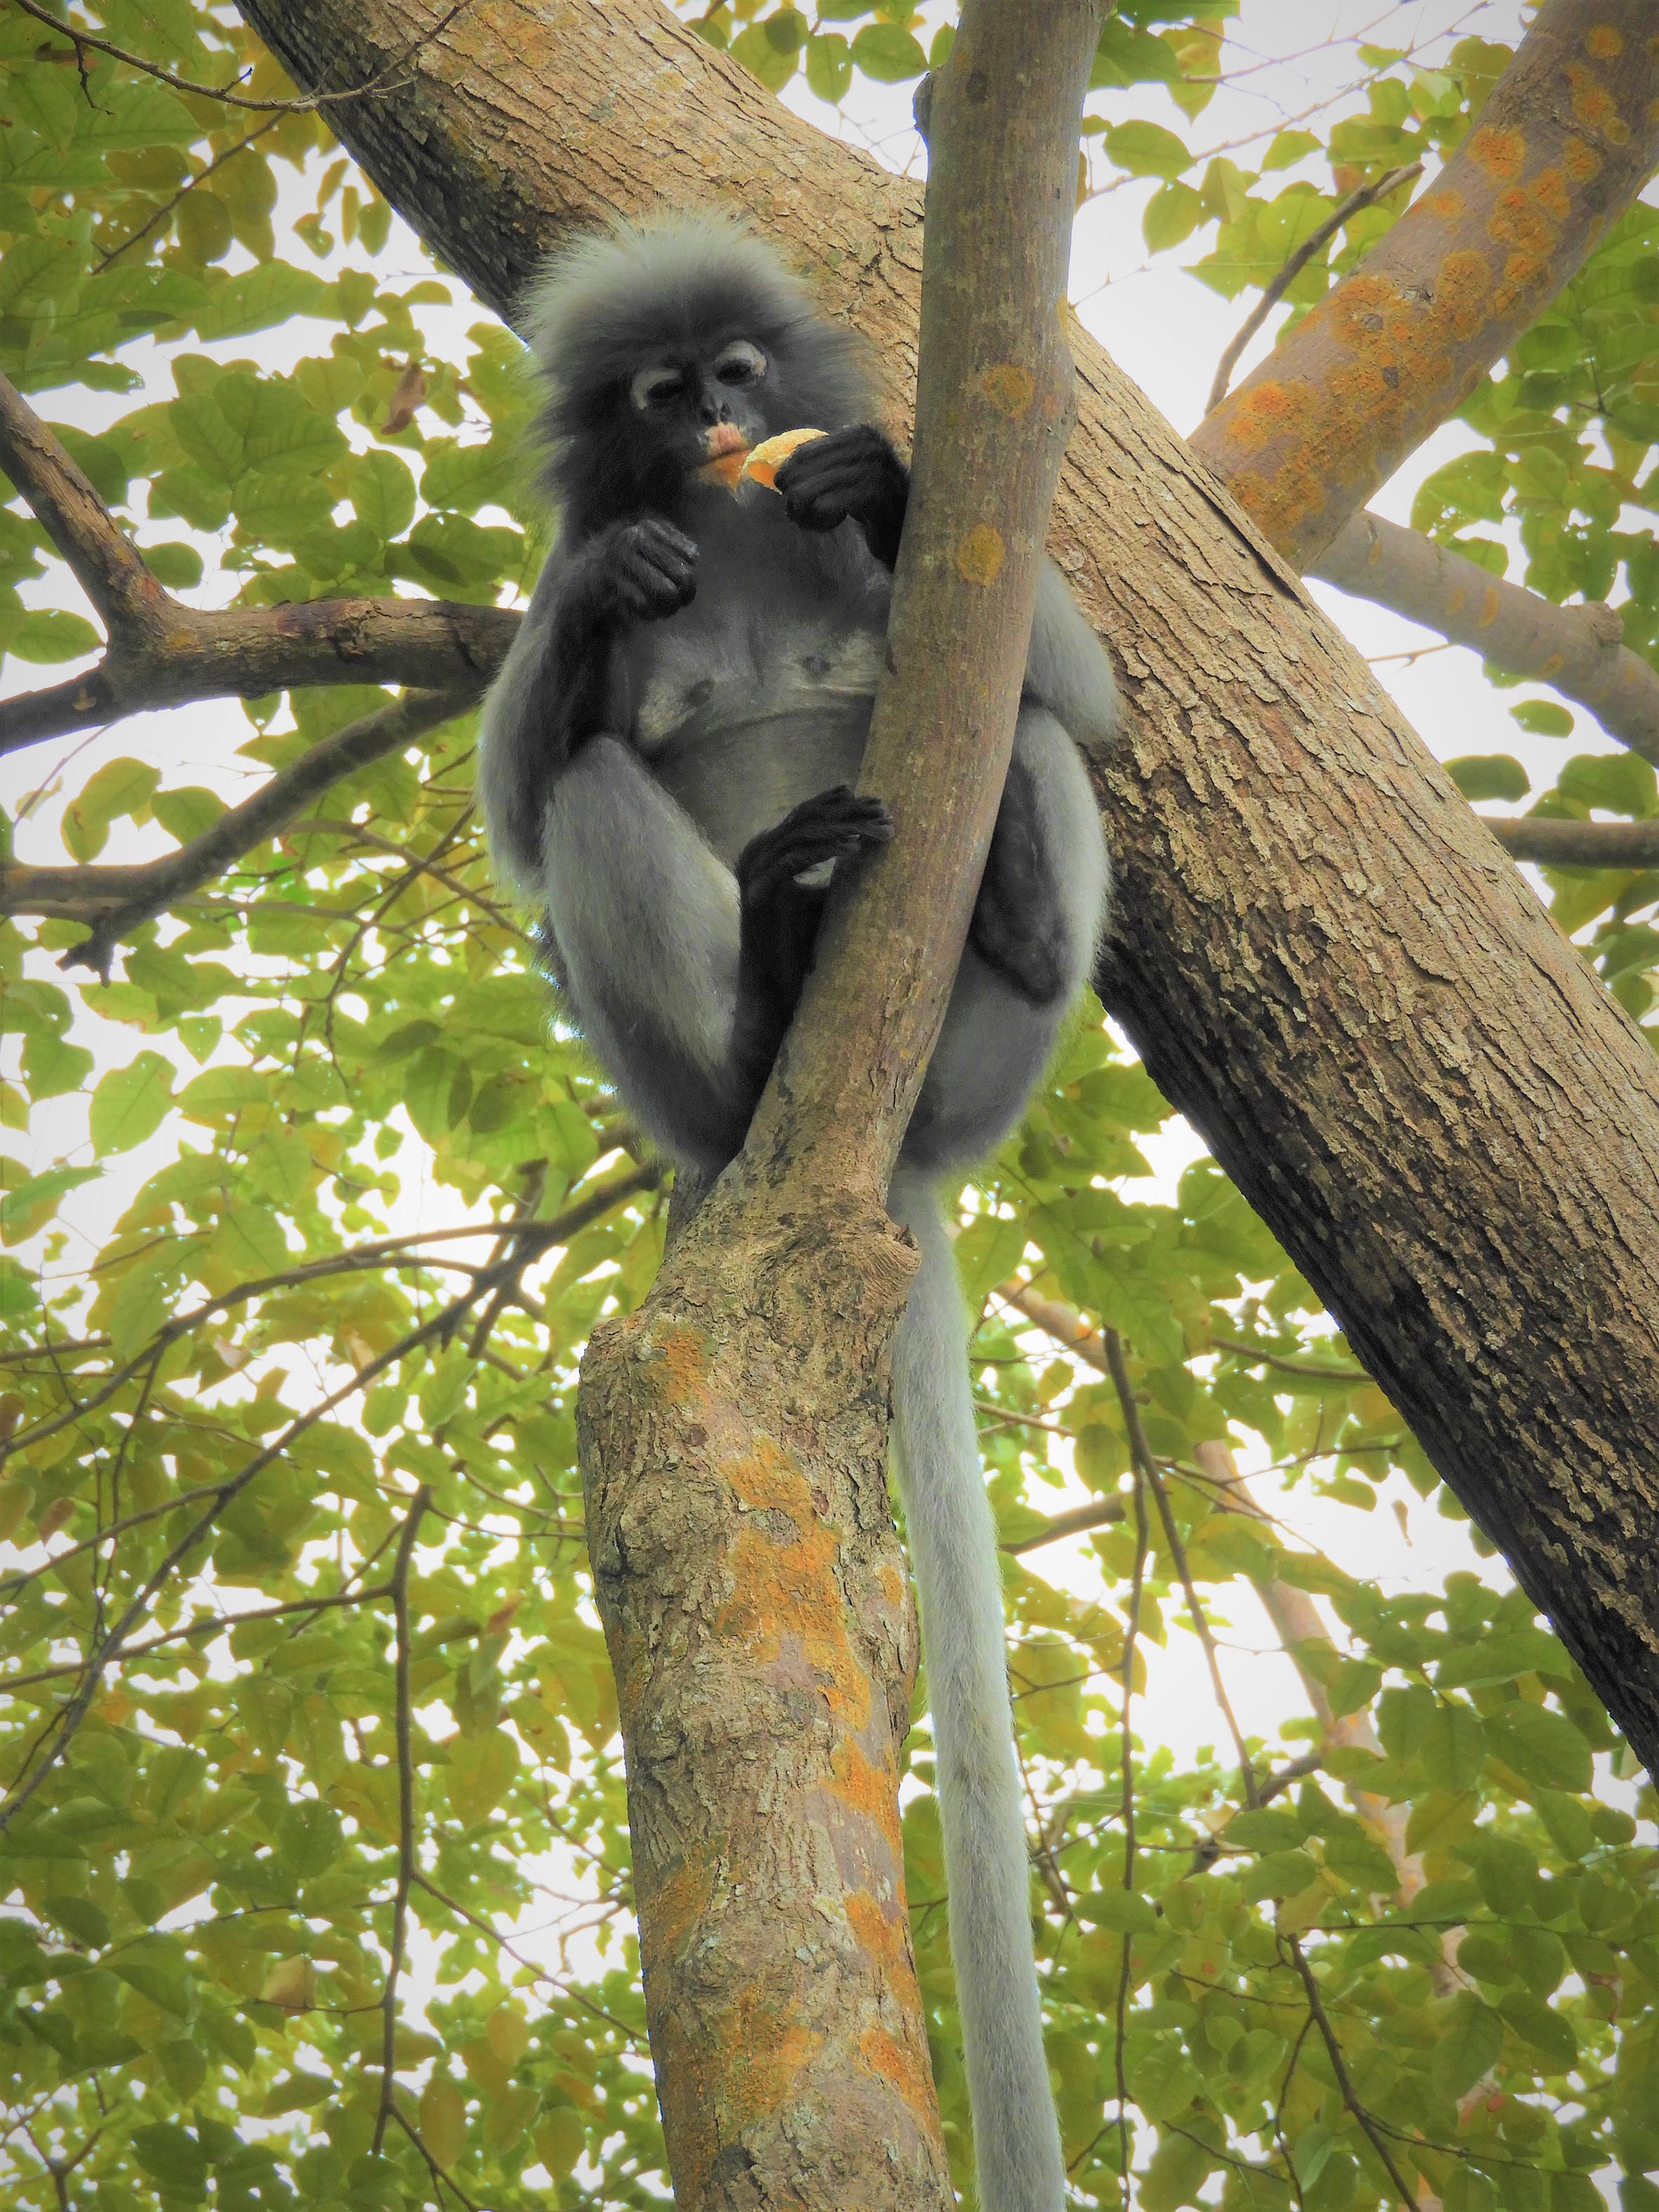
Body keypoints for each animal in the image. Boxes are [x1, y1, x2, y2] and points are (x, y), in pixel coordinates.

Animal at [480, 211, 1123, 2212]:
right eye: (658, 389)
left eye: (741, 372)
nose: (718, 417)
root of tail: (884, 1152)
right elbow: (524, 792)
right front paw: (616, 581)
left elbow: (1086, 693)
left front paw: (881, 483)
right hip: (691, 1088)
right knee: (591, 787)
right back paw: (767, 987)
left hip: (993, 1058)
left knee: (1031, 735)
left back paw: (1015, 901)